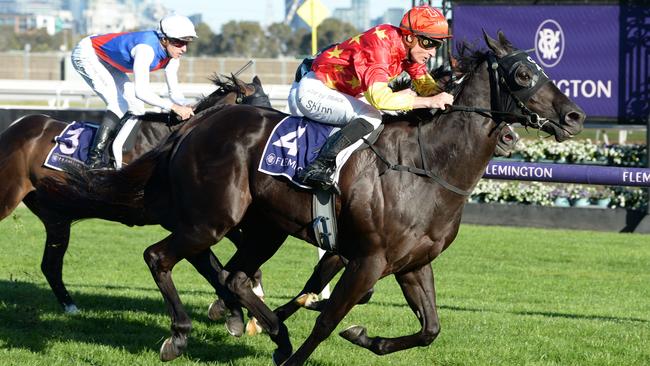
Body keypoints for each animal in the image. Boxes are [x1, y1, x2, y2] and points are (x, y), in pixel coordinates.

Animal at [0, 73, 268, 312]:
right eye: (260, 114)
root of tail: (16, 127)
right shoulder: (185, 217)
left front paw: (251, 289)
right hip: (10, 196)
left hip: (55, 216)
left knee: (51, 265)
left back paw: (70, 306)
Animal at [63, 33, 584, 364]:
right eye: (522, 74)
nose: (575, 116)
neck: (427, 167)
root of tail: (196, 125)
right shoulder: (368, 260)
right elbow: (327, 319)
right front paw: (317, 339)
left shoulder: (413, 263)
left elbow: (429, 329)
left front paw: (364, 335)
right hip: (212, 219)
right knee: (161, 257)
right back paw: (181, 336)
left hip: (263, 228)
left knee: (233, 277)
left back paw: (269, 333)